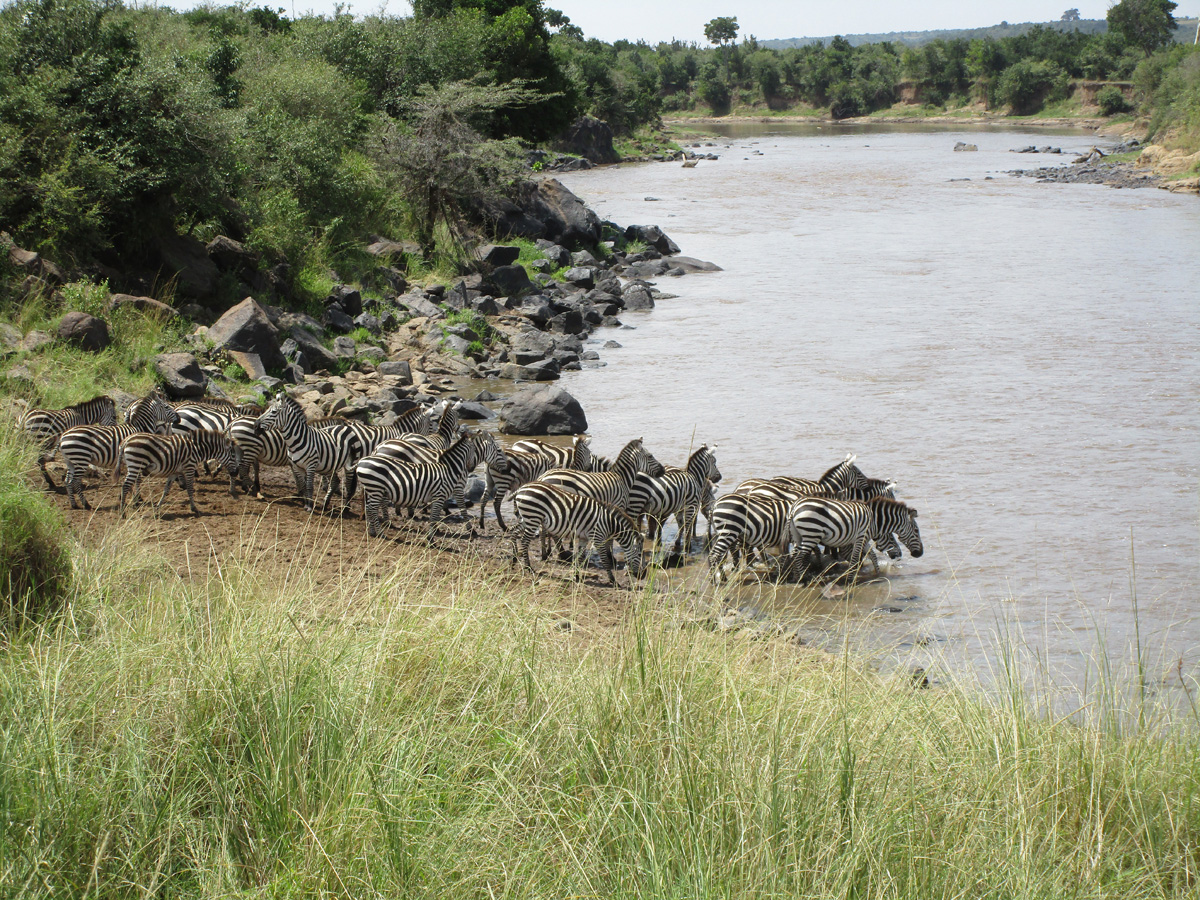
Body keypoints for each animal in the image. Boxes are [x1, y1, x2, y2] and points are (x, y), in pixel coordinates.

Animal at [356, 431, 509, 540]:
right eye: (499, 451)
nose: (506, 469)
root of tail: (378, 447)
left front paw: (437, 520)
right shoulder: (458, 487)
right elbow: (462, 507)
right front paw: (471, 529)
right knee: (379, 503)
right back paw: (385, 524)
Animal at [508, 483, 645, 586]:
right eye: (639, 554)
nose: (643, 576)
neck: (609, 523)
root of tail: (522, 487)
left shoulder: (585, 538)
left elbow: (579, 557)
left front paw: (577, 576)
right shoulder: (598, 537)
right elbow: (605, 560)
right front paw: (613, 580)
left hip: (527, 518)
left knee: (513, 532)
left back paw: (514, 559)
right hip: (533, 518)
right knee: (524, 541)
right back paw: (528, 567)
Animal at [786, 496, 922, 582]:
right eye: (916, 531)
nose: (920, 553)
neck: (873, 521)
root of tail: (794, 507)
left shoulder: (864, 538)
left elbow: (872, 556)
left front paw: (878, 574)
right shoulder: (860, 537)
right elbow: (856, 558)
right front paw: (851, 579)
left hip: (798, 535)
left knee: (794, 554)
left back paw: (796, 578)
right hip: (812, 533)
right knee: (798, 557)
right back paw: (804, 579)